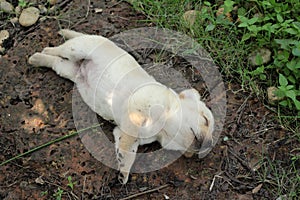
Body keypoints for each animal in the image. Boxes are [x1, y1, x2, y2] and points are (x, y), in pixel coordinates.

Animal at [28, 28, 214, 184]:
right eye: (205, 120)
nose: (210, 144)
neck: (164, 127)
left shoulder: (127, 134)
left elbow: (127, 149)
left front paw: (123, 173)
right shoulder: (139, 109)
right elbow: (130, 139)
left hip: (68, 70)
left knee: (55, 61)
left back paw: (37, 59)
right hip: (78, 48)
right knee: (58, 49)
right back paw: (39, 53)